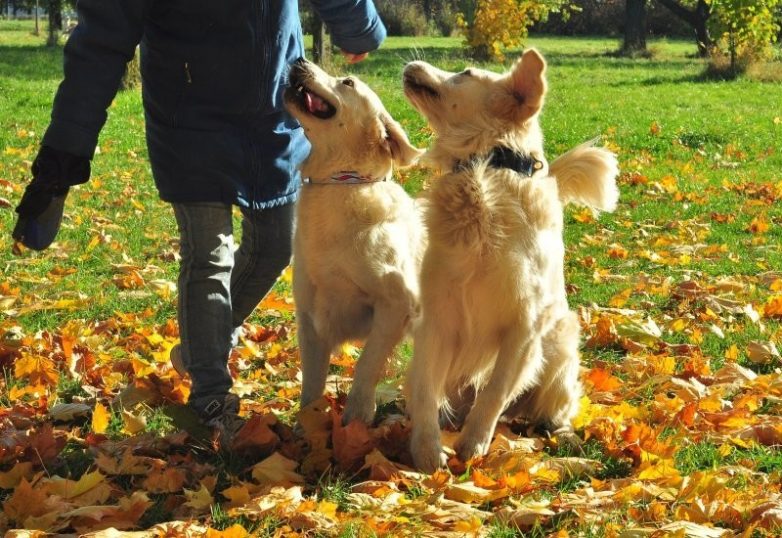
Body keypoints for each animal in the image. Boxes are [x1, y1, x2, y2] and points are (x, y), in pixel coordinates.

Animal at [284, 55, 426, 422]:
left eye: (347, 82)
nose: (298, 59)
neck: (341, 182)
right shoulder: (309, 317)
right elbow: (311, 384)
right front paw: (309, 425)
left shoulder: (397, 304)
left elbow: (366, 365)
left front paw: (356, 419)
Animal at [404, 50, 620, 468]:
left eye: (465, 73)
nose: (410, 64)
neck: (486, 168)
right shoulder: (435, 318)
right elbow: (424, 389)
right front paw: (426, 452)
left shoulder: (525, 326)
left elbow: (496, 390)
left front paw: (473, 445)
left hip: (560, 350)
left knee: (555, 410)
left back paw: (563, 436)